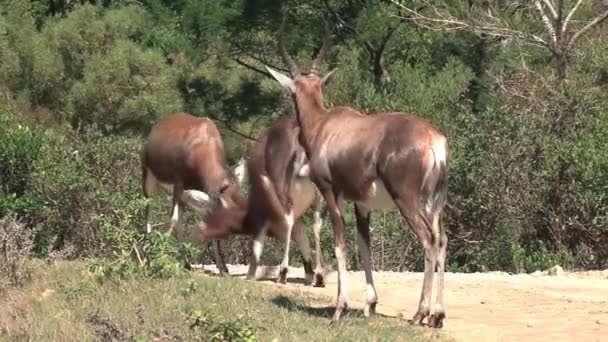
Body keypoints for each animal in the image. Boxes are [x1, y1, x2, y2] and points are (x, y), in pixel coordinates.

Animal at [141, 112, 242, 276]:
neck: (203, 137)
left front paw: (223, 269)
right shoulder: (178, 183)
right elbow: (173, 219)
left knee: (179, 225)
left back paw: (186, 263)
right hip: (149, 182)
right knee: (148, 210)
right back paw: (147, 254)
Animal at [198, 116, 328, 288]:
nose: (203, 234)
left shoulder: (263, 214)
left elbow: (258, 243)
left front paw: (250, 274)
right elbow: (302, 237)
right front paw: (309, 274)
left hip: (287, 196)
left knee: (289, 221)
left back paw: (282, 274)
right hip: (318, 200)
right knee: (316, 226)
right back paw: (319, 277)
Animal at [264, 20, 448, 328]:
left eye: (292, 92)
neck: (326, 125)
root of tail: (433, 141)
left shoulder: (331, 193)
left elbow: (340, 245)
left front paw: (340, 308)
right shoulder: (362, 203)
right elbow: (365, 246)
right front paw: (370, 305)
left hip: (408, 202)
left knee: (428, 240)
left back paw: (419, 314)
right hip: (434, 204)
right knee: (442, 240)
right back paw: (438, 315)